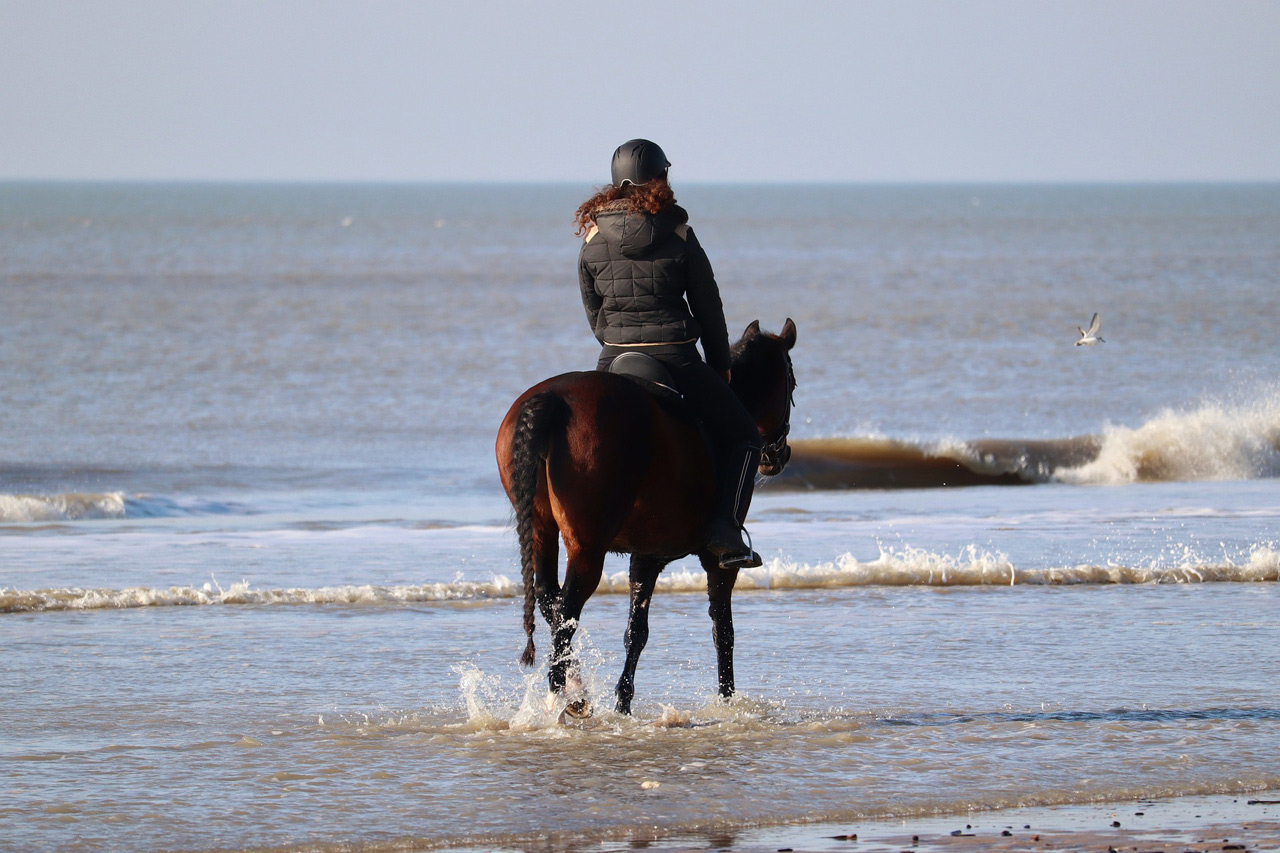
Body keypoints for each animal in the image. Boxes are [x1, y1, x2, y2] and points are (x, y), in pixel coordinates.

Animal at [494, 317, 793, 712]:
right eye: (792, 382)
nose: (779, 455)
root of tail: (552, 399)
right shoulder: (717, 562)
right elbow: (722, 629)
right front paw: (727, 699)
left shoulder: (646, 555)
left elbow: (636, 630)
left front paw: (623, 704)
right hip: (587, 548)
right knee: (566, 611)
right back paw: (562, 699)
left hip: (542, 529)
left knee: (549, 601)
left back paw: (575, 689)